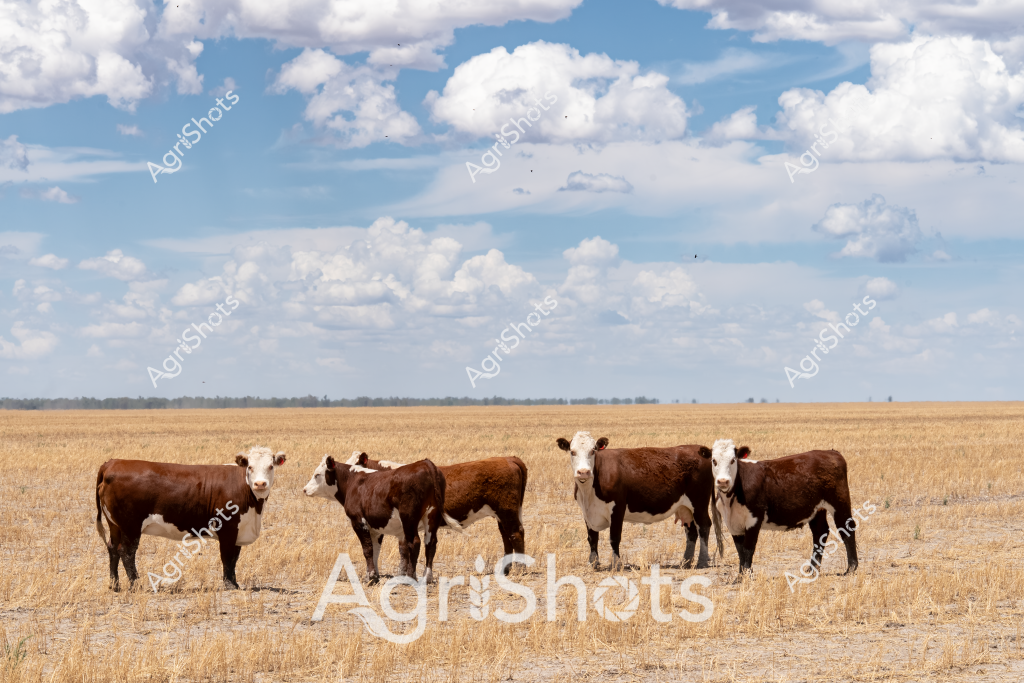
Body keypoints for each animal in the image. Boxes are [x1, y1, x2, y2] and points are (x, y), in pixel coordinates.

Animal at [95, 446, 286, 591]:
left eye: (271, 466)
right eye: (250, 467)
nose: (260, 484)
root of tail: (112, 463)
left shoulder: (239, 531)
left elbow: (234, 559)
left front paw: (235, 583)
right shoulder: (228, 529)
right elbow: (227, 557)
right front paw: (229, 585)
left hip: (115, 525)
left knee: (112, 548)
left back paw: (115, 585)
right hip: (130, 526)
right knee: (126, 552)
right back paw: (136, 585)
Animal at [303, 455, 463, 583]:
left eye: (317, 475)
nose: (304, 489)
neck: (352, 482)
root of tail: (425, 464)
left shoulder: (359, 522)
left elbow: (367, 549)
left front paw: (370, 577)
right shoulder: (375, 528)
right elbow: (375, 550)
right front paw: (375, 575)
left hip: (409, 519)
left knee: (415, 542)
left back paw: (410, 577)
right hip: (432, 517)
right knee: (431, 544)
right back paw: (427, 577)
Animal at [346, 451, 528, 569]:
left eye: (354, 465)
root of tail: (509, 459)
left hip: (507, 511)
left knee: (515, 534)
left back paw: (519, 568)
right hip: (502, 514)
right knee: (506, 536)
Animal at [555, 432, 723, 570]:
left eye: (593, 450)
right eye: (572, 451)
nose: (583, 472)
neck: (589, 492)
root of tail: (702, 451)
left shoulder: (618, 508)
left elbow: (614, 538)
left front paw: (616, 564)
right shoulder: (587, 512)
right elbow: (592, 538)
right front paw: (593, 563)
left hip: (699, 503)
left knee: (704, 526)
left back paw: (702, 561)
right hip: (685, 507)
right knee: (692, 531)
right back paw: (685, 562)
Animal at [708, 439, 859, 577]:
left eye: (733, 460)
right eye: (714, 461)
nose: (723, 481)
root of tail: (831, 452)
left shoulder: (754, 518)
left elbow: (748, 548)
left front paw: (746, 576)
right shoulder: (732, 523)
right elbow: (740, 551)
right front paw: (740, 577)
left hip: (839, 502)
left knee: (847, 528)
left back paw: (851, 568)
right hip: (817, 509)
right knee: (820, 532)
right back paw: (812, 570)